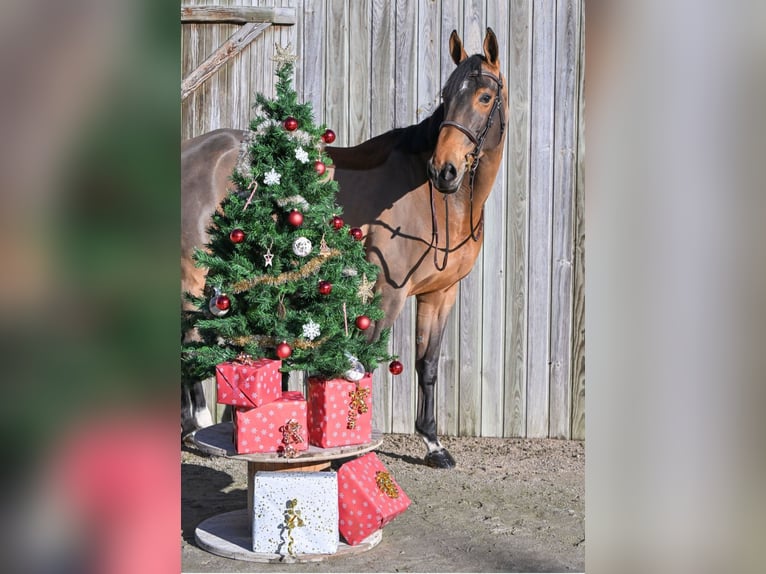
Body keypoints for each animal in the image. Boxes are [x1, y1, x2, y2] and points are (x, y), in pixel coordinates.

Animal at [181, 28, 508, 468]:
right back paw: (197, 426)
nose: (445, 170)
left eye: (485, 97)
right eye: (446, 95)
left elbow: (427, 364)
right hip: (195, 275)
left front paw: (433, 444)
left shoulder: (441, 293)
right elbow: (365, 361)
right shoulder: (388, 291)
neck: (436, 200)